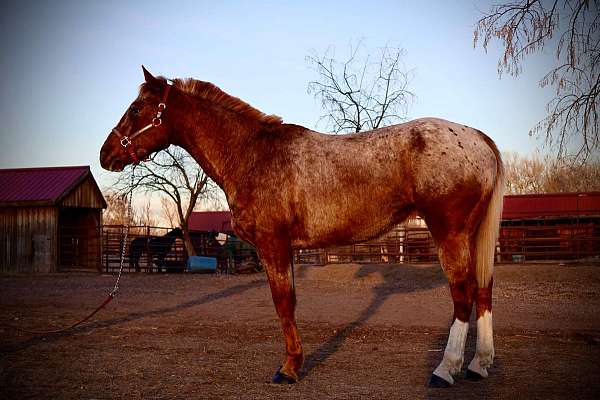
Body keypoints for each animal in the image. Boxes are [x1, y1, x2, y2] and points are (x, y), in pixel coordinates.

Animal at [101, 68, 504, 388]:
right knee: (483, 291)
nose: (106, 155)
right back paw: (479, 365)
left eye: (136, 109)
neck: (254, 155)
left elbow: (283, 303)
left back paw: (445, 370)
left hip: (449, 234)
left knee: (463, 295)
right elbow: (289, 303)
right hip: (472, 236)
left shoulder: (273, 245)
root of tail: (477, 138)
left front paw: (289, 368)